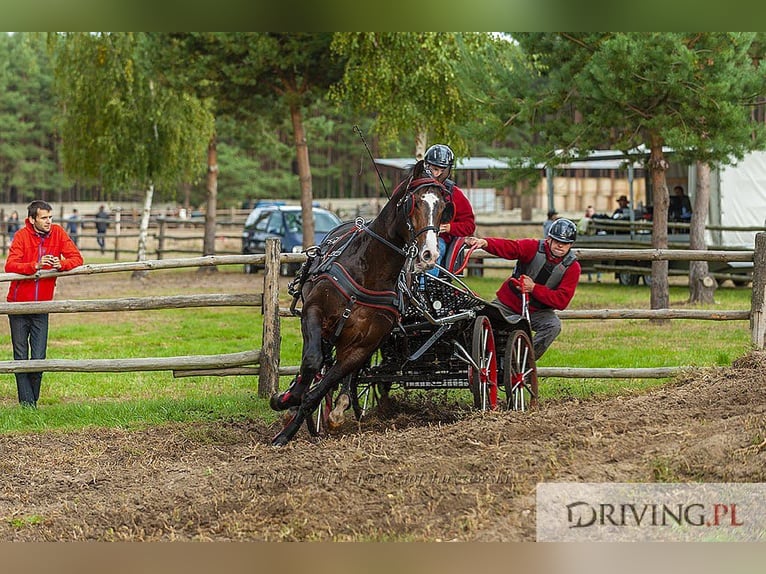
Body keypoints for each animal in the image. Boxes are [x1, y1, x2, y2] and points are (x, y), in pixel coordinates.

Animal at [272, 160, 456, 448]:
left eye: (442, 208)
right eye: (414, 202)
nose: (429, 254)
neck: (370, 270)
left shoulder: (365, 345)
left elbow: (324, 386)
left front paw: (288, 432)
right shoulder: (313, 311)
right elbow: (312, 361)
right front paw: (287, 399)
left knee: (346, 373)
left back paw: (338, 407)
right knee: (319, 358)